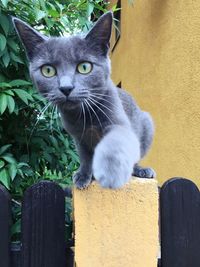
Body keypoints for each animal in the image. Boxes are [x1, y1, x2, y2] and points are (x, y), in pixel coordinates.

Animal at [12, 11, 156, 189]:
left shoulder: (117, 122)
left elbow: (115, 144)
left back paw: (141, 170)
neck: (84, 117)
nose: (66, 87)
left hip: (147, 124)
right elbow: (85, 157)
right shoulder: (78, 137)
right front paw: (83, 175)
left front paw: (110, 172)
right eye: (48, 70)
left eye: (84, 67)